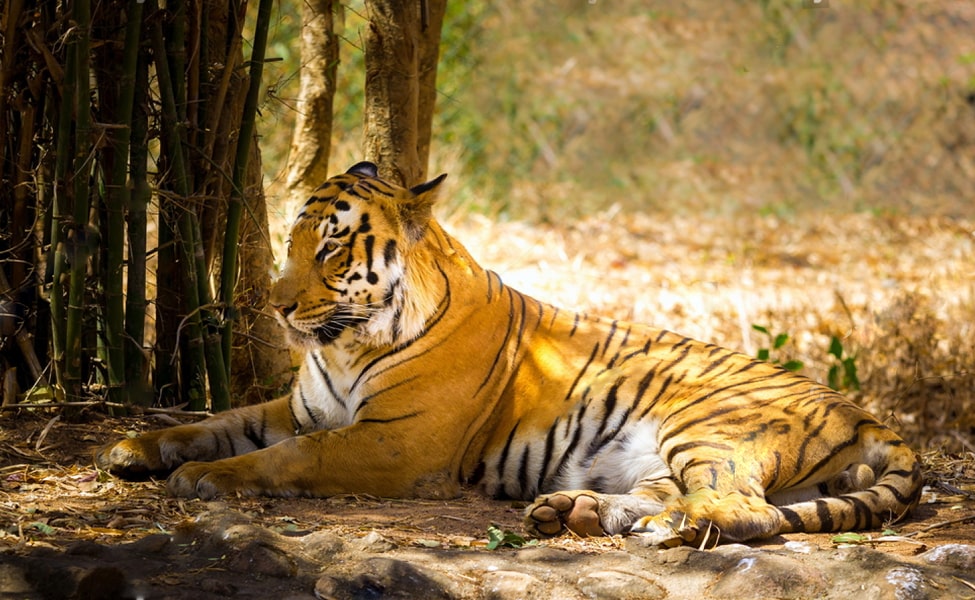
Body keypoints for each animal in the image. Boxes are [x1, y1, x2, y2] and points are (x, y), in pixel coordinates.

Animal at [95, 162, 928, 548]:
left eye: (329, 248)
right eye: (293, 240)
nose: (274, 303)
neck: (344, 343)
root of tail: (863, 411)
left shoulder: (392, 442)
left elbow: (287, 456)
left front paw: (205, 480)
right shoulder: (297, 406)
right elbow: (216, 421)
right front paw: (133, 448)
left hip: (708, 430)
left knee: (738, 511)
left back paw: (648, 530)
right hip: (668, 455)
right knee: (682, 496)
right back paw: (574, 510)